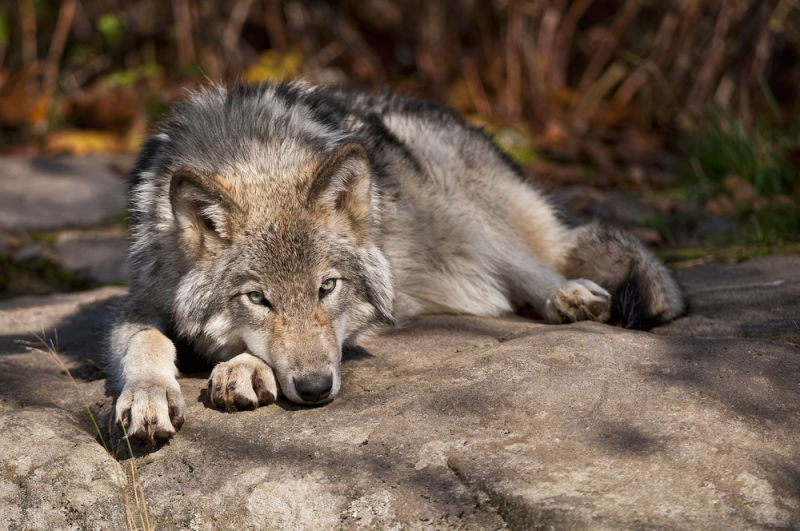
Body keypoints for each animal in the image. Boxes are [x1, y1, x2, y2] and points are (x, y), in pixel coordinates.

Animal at [110, 82, 684, 443]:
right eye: (257, 298)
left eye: (327, 288)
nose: (316, 390)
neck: (253, 153)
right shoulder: (138, 300)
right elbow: (147, 340)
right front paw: (148, 396)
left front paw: (242, 368)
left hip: (463, 217)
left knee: (538, 263)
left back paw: (569, 295)